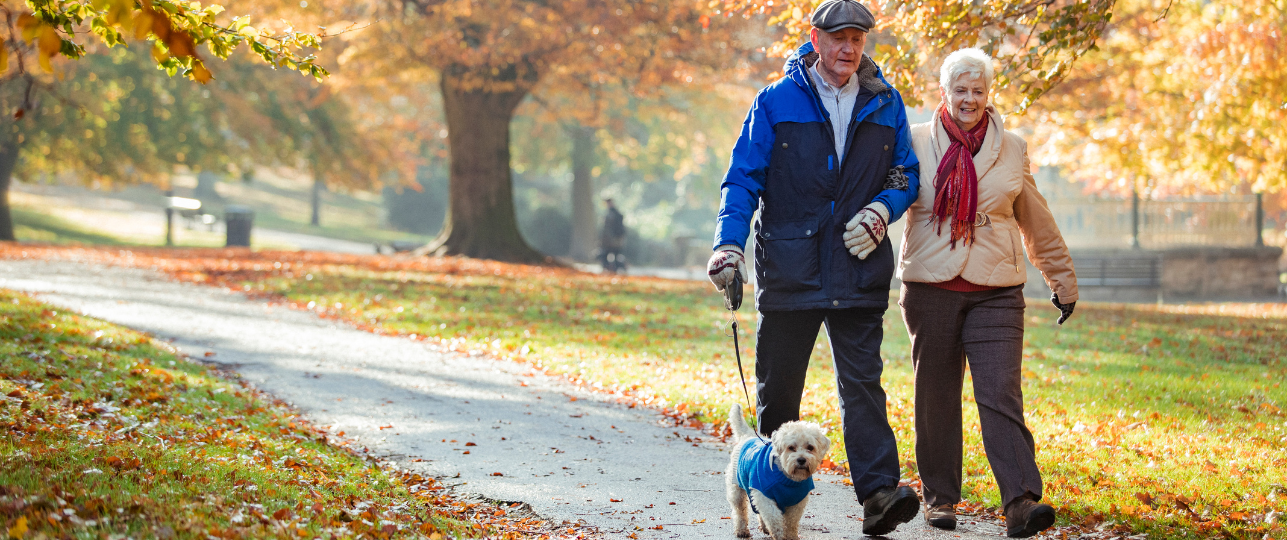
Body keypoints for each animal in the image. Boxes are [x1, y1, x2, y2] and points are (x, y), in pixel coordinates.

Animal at [731, 403, 828, 537]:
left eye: (810, 447)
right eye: (791, 447)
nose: (801, 460)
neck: (788, 478)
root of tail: (748, 436)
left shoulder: (797, 502)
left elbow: (791, 522)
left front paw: (791, 536)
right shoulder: (764, 496)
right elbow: (774, 519)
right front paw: (779, 535)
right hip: (737, 491)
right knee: (740, 511)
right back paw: (741, 530)